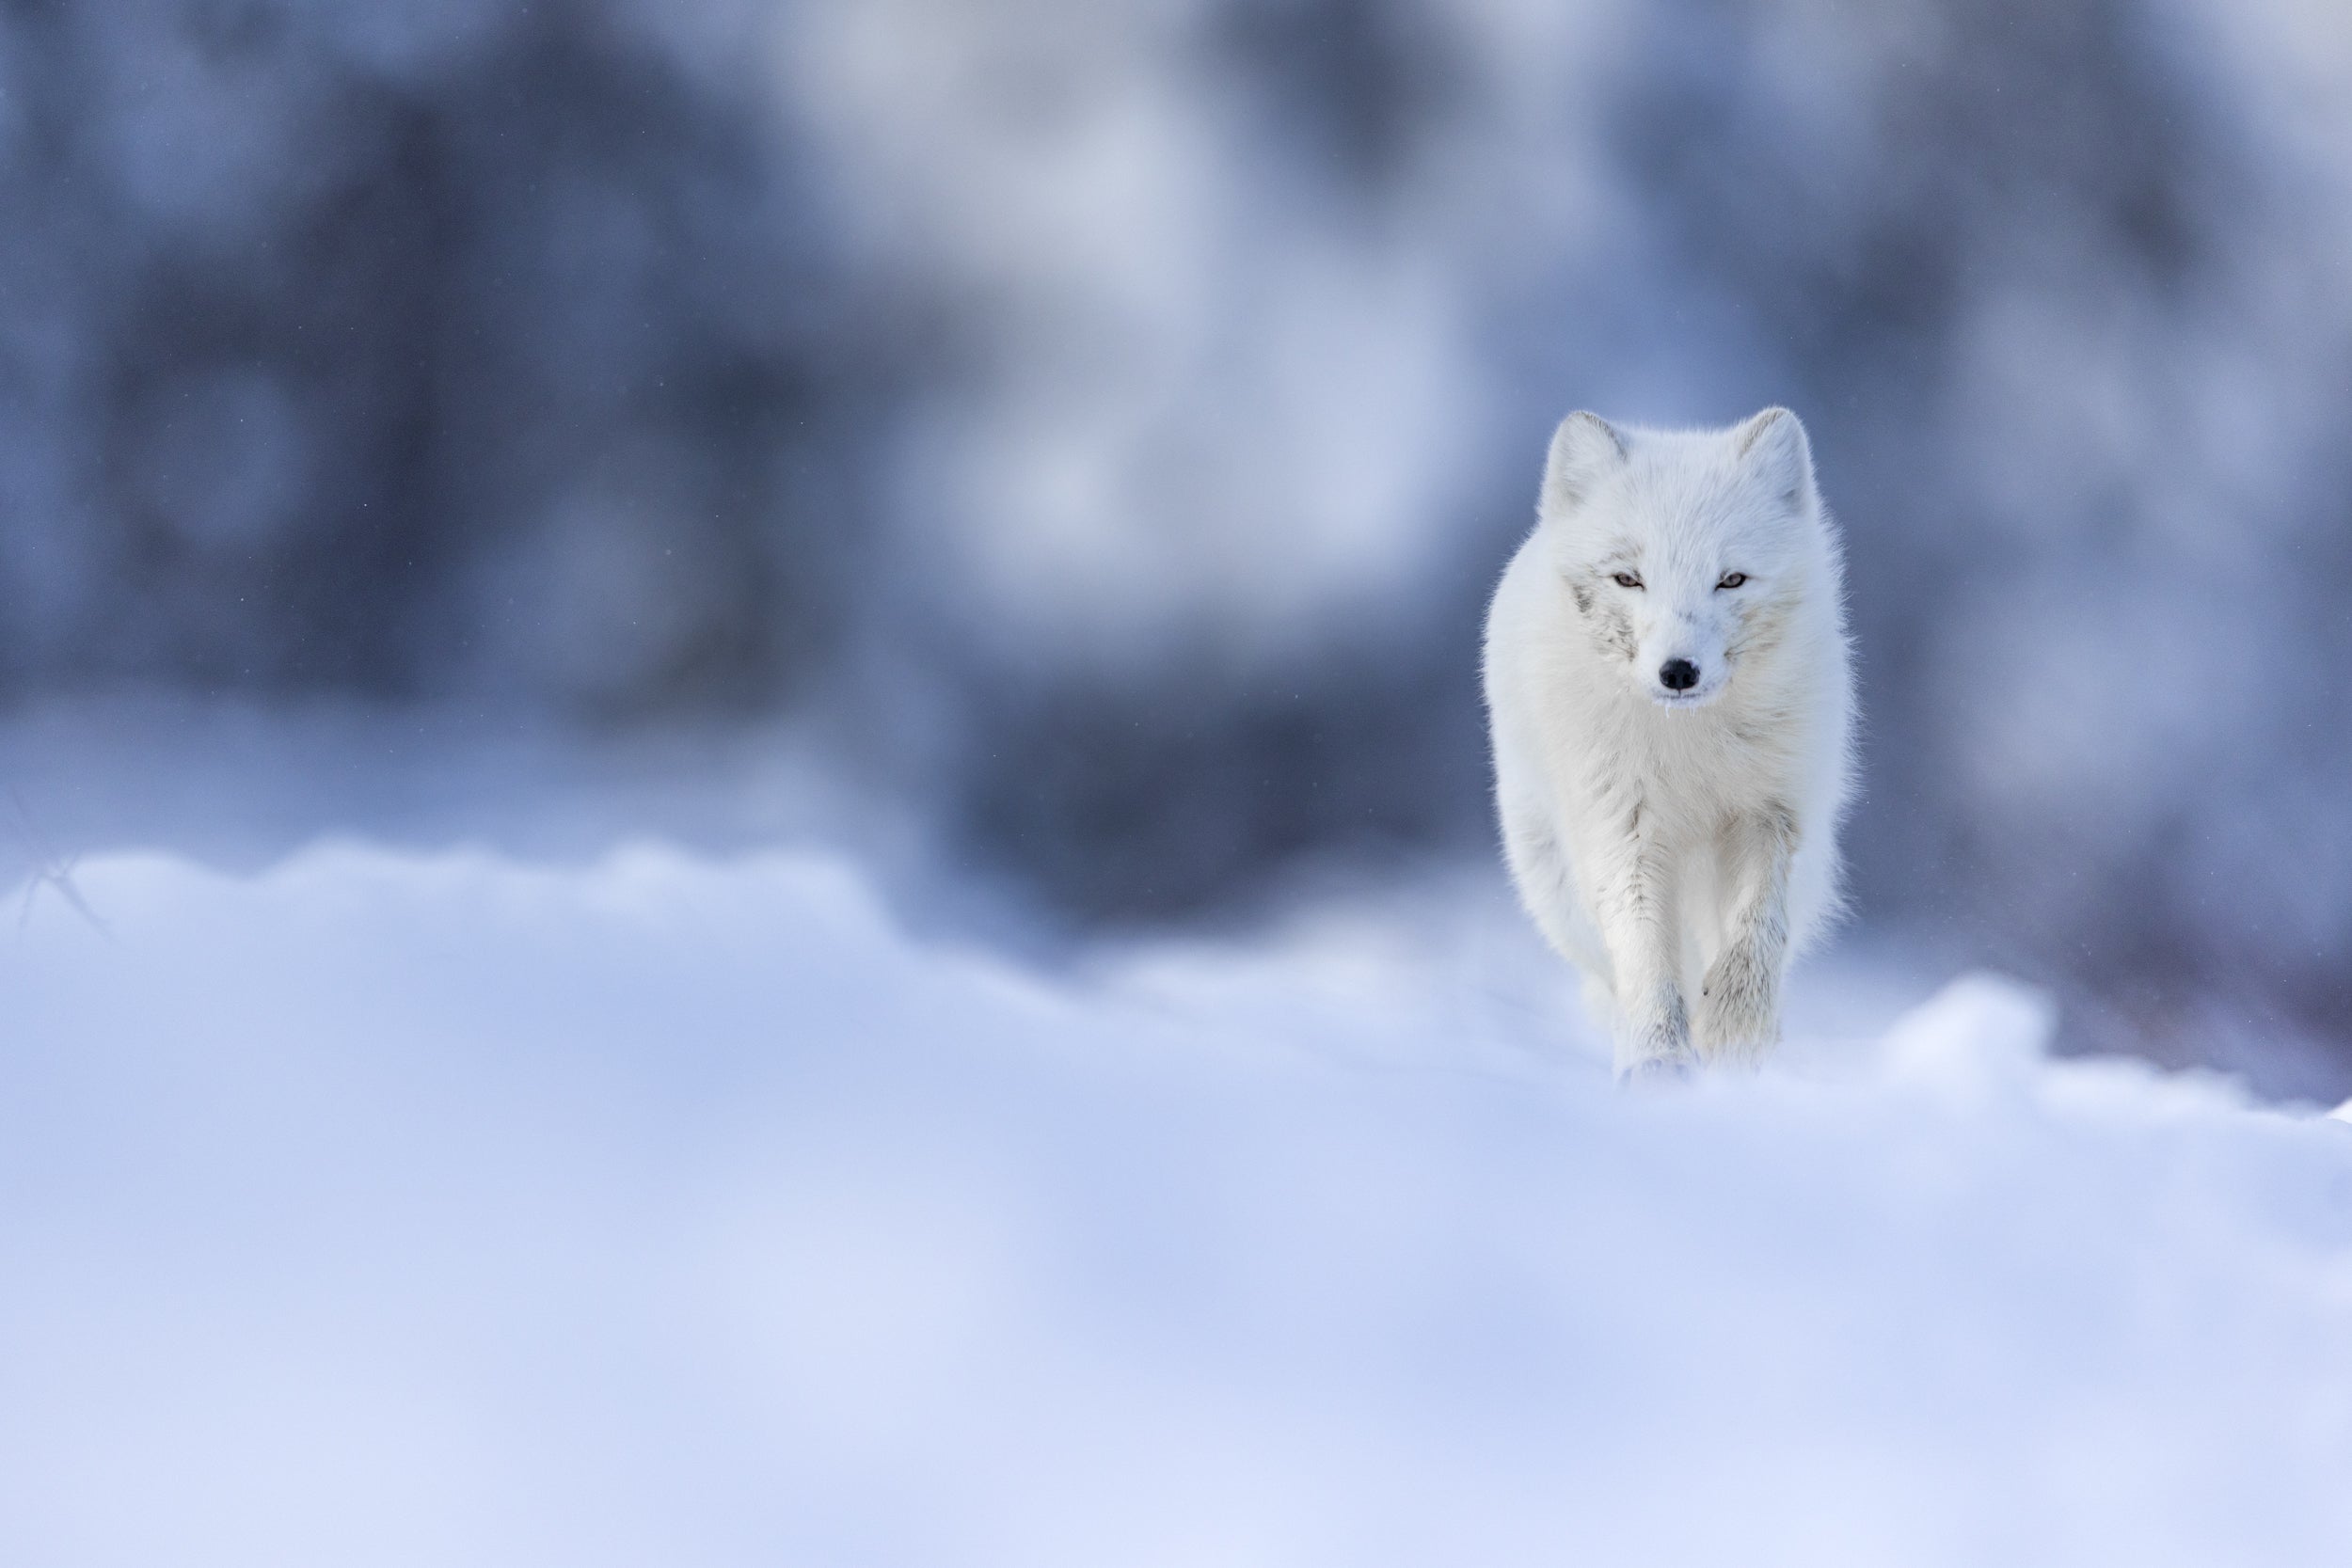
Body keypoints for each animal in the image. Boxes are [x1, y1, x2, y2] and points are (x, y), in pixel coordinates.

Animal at [1483, 407, 1855, 1081]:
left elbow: (1755, 931)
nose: (1678, 672)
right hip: (1556, 883)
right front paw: (1658, 1063)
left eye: (1730, 580)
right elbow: (1646, 957)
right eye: (1629, 578)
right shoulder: (1620, 827)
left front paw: (1735, 1031)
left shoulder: (1767, 812)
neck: (1688, 749)